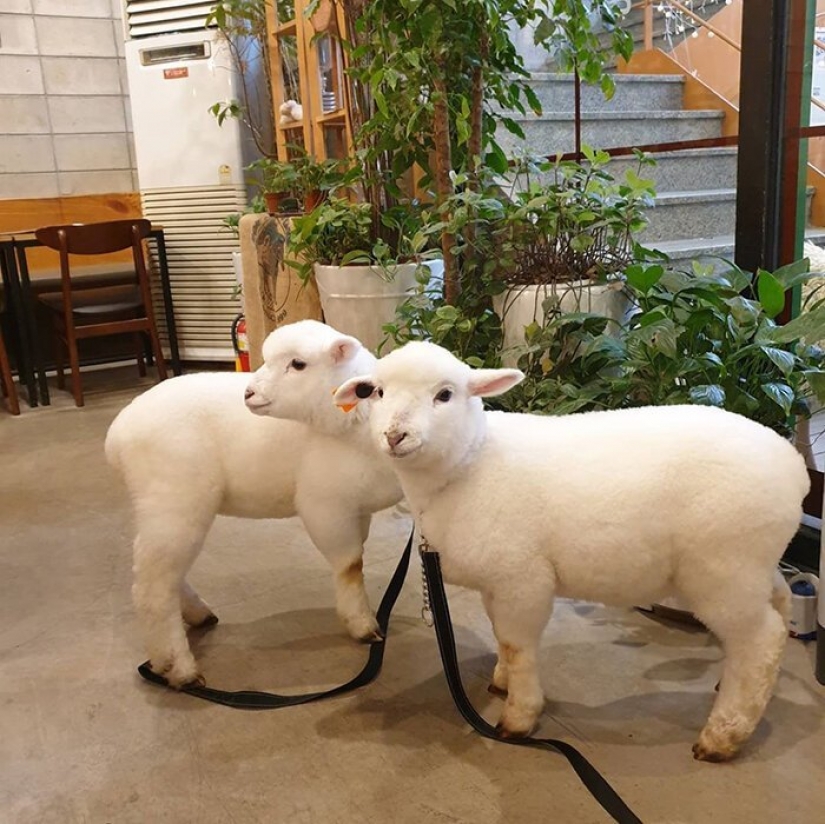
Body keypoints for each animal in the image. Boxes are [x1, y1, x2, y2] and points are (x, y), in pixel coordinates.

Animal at [105, 320, 402, 687]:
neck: (358, 424)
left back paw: (198, 614)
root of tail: (116, 435)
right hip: (171, 500)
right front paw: (362, 625)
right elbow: (350, 566)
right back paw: (179, 668)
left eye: (298, 364)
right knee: (153, 587)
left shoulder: (356, 508)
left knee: (165, 573)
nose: (248, 394)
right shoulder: (326, 506)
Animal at [334, 340, 808, 762]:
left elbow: (518, 646)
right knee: (780, 605)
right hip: (753, 563)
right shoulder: (496, 579)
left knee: (760, 638)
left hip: (722, 569)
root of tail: (796, 469)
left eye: (445, 395)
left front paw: (519, 716)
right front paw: (501, 681)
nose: (395, 435)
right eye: (377, 392)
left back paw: (723, 735)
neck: (470, 462)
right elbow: (501, 638)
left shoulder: (524, 580)